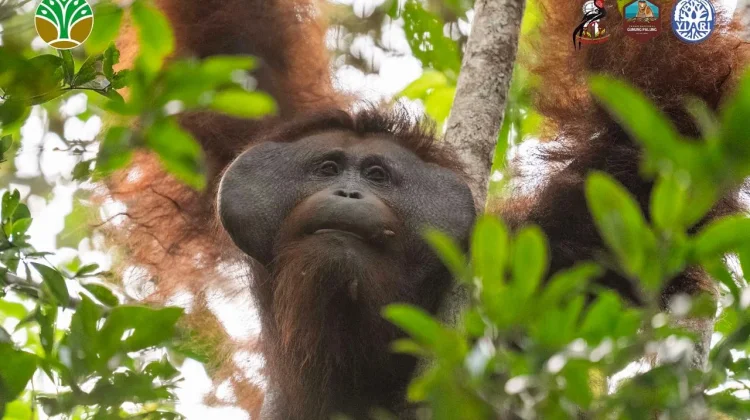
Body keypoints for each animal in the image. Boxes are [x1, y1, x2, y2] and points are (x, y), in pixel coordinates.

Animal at [105, 0, 750, 418]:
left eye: (377, 175)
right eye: (327, 168)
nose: (348, 194)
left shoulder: (554, 250)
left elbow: (667, 131)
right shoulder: (258, 124)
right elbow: (231, 49)